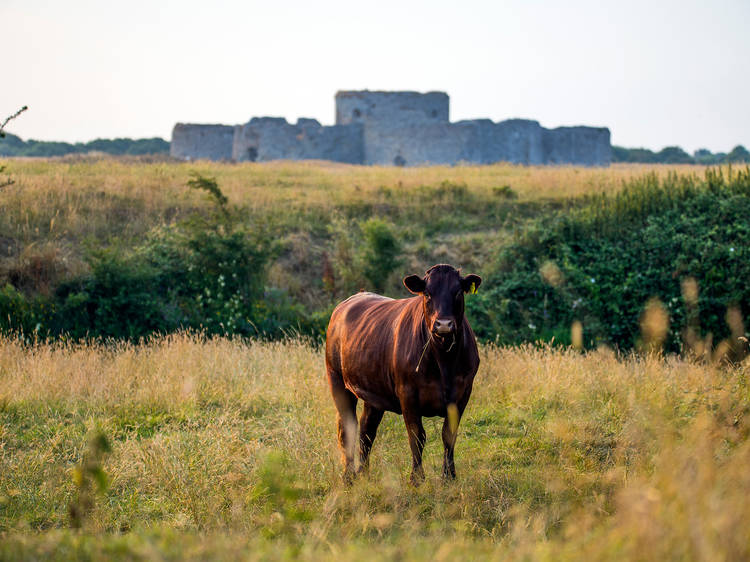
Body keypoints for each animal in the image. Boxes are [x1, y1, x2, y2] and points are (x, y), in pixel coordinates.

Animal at [328, 262, 482, 482]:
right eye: (427, 293)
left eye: (458, 292)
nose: (444, 324)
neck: (444, 361)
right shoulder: (408, 393)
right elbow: (417, 435)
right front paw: (417, 478)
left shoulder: (462, 393)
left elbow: (449, 434)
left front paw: (449, 477)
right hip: (338, 381)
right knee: (347, 427)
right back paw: (348, 475)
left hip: (374, 391)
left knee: (367, 429)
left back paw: (364, 473)